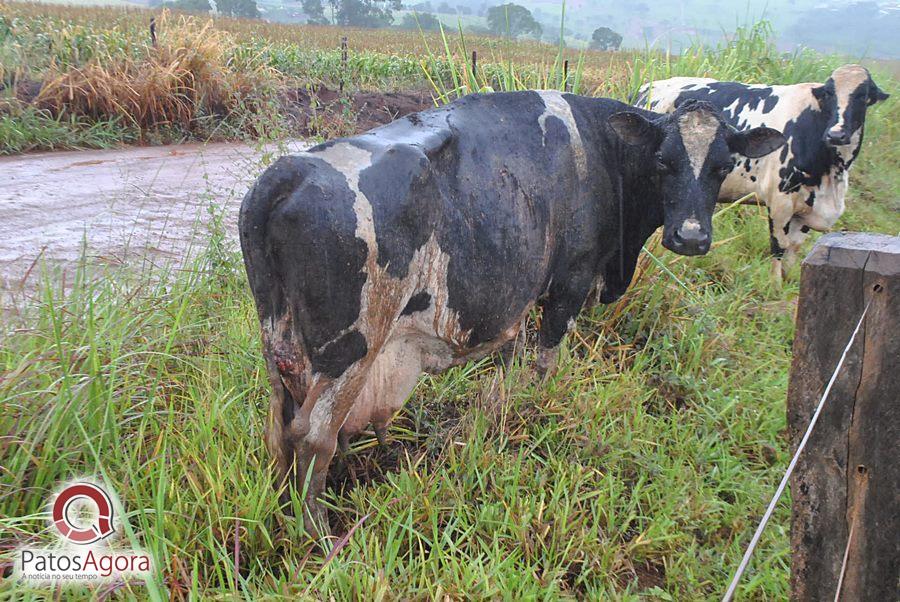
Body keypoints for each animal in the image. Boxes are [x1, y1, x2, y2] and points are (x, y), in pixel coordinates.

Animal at [237, 91, 780, 512]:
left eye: (723, 166)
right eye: (664, 161)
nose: (691, 238)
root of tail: (285, 174)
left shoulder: (516, 304)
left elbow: (508, 370)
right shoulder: (568, 286)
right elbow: (544, 366)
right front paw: (535, 412)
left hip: (279, 349)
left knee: (279, 430)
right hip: (353, 348)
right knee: (313, 437)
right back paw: (317, 535)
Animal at [636, 63, 888, 284]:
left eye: (863, 96)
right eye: (828, 94)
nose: (836, 134)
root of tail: (650, 86)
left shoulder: (804, 210)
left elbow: (794, 248)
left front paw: (788, 279)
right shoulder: (780, 200)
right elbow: (779, 246)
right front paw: (775, 284)